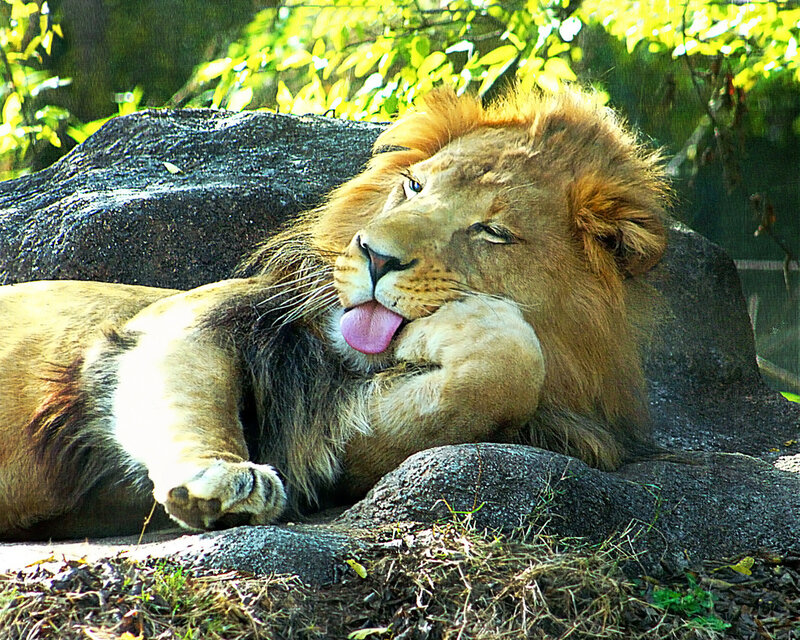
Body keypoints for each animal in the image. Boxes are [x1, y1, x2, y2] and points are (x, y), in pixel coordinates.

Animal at [0, 87, 669, 540]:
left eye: (492, 231)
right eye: (415, 187)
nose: (375, 255)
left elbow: (503, 366)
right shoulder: (178, 325)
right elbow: (187, 399)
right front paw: (220, 476)